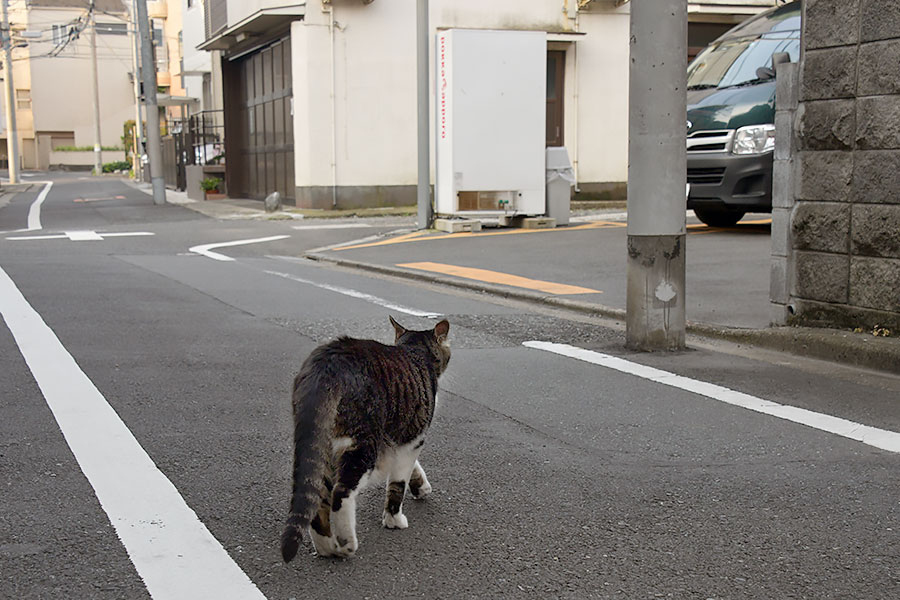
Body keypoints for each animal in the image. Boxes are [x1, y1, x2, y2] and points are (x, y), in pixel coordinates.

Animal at [280, 316, 450, 560]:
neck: (414, 351)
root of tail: (325, 367)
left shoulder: (397, 438)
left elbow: (412, 468)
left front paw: (421, 486)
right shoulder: (413, 436)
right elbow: (398, 482)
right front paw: (394, 519)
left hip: (324, 446)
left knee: (318, 496)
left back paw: (326, 547)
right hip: (361, 445)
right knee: (340, 493)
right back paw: (347, 543)